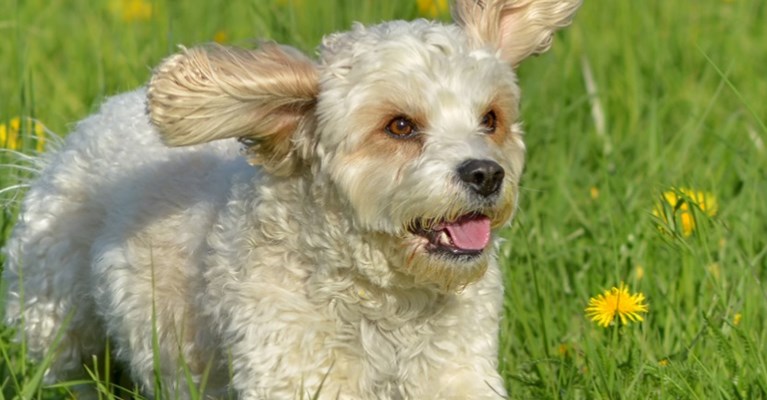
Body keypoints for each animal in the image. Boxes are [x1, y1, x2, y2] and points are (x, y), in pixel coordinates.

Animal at [3, 1, 584, 398]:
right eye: (400, 126)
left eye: (491, 119)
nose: (486, 173)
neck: (385, 301)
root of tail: (93, 120)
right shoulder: (295, 370)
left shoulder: (454, 370)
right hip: (54, 316)